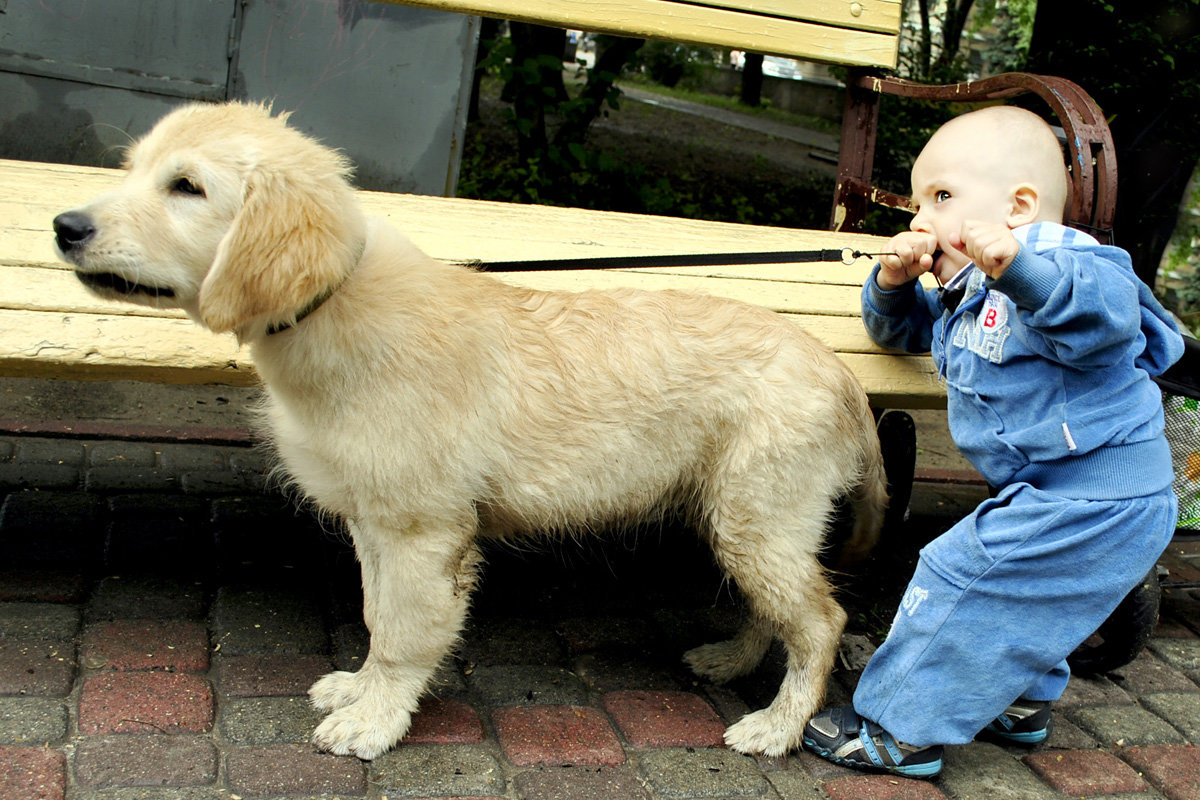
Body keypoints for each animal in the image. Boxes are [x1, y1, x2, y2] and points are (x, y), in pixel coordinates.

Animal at [54, 103, 883, 762]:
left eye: (186, 187)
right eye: (135, 170)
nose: (64, 226)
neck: (336, 300)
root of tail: (842, 376)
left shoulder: (422, 531)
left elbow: (402, 631)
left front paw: (375, 721)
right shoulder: (375, 522)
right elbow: (374, 614)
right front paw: (358, 690)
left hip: (758, 517)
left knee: (821, 621)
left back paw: (776, 726)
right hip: (741, 519)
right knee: (777, 610)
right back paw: (731, 661)